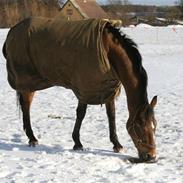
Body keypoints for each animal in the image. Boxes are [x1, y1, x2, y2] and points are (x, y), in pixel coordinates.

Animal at [2, 17, 157, 162]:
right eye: (140, 126)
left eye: (154, 125)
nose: (151, 156)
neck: (108, 51)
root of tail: (12, 31)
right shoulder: (85, 87)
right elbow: (81, 114)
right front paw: (77, 143)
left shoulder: (107, 89)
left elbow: (111, 115)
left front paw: (116, 144)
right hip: (27, 83)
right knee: (26, 108)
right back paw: (32, 138)